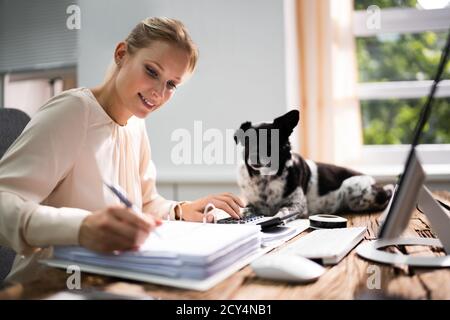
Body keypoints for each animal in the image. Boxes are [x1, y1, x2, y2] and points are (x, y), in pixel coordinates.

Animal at [234, 110, 392, 220]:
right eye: (247, 141)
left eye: (270, 140)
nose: (254, 157)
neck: (265, 180)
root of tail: (375, 182)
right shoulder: (252, 202)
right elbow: (246, 209)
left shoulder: (298, 206)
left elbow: (282, 212)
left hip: (353, 188)